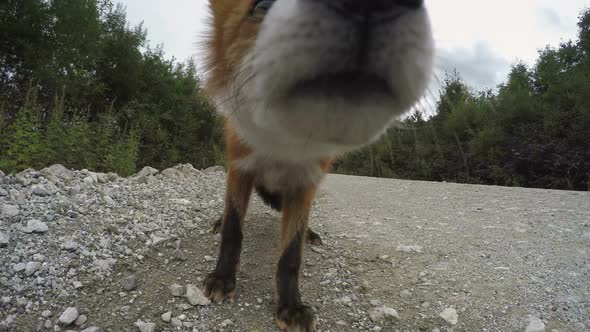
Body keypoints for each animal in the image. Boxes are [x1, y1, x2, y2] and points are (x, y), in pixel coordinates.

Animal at [202, 0, 434, 330]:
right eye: (260, 6)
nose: (368, 5)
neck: (283, 148)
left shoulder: (305, 184)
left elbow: (290, 255)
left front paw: (290, 305)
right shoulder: (240, 166)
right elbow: (234, 230)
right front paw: (223, 277)